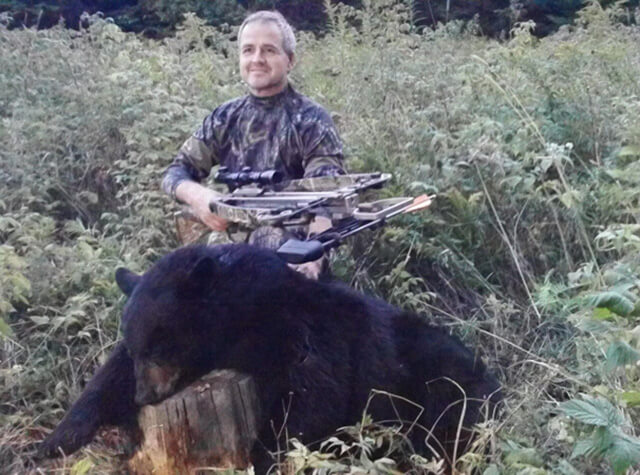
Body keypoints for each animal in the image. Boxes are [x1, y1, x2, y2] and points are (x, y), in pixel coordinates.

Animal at [40, 245, 502, 472]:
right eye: (138, 346)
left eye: (159, 345)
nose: (144, 397)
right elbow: (107, 378)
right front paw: (56, 440)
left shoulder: (300, 330)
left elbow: (312, 397)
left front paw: (263, 456)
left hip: (440, 382)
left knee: (450, 421)